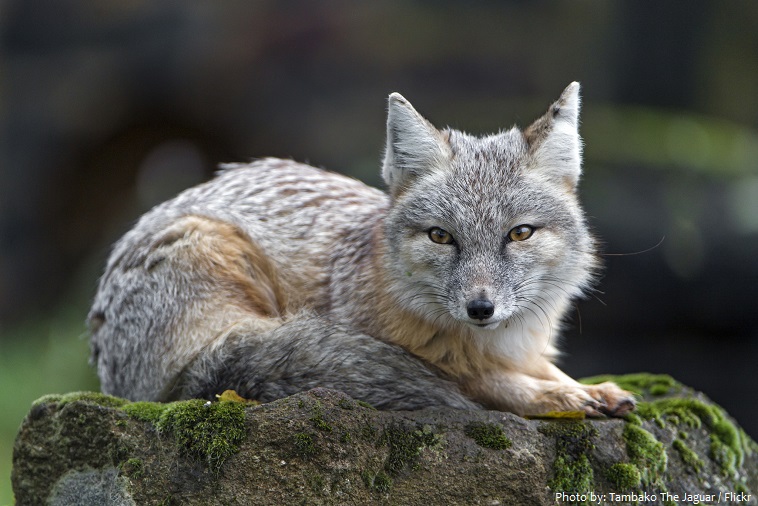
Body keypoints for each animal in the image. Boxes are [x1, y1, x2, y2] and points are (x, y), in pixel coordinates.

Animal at [87, 82, 636, 416]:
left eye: (518, 234)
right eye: (442, 236)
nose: (480, 308)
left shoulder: (524, 349)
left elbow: (544, 368)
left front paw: (586, 386)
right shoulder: (441, 363)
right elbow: (487, 383)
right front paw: (557, 396)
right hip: (217, 259)